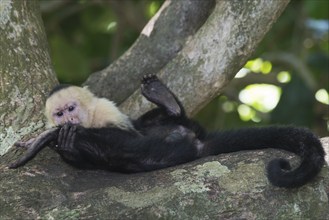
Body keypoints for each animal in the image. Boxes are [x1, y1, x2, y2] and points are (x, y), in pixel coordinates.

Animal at [9, 75, 324, 187]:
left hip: (171, 141)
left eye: (71, 107)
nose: (68, 120)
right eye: (59, 113)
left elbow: (130, 134)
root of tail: (197, 142)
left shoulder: (106, 110)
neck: (90, 121)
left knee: (137, 139)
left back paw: (168, 103)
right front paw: (55, 138)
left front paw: (51, 138)